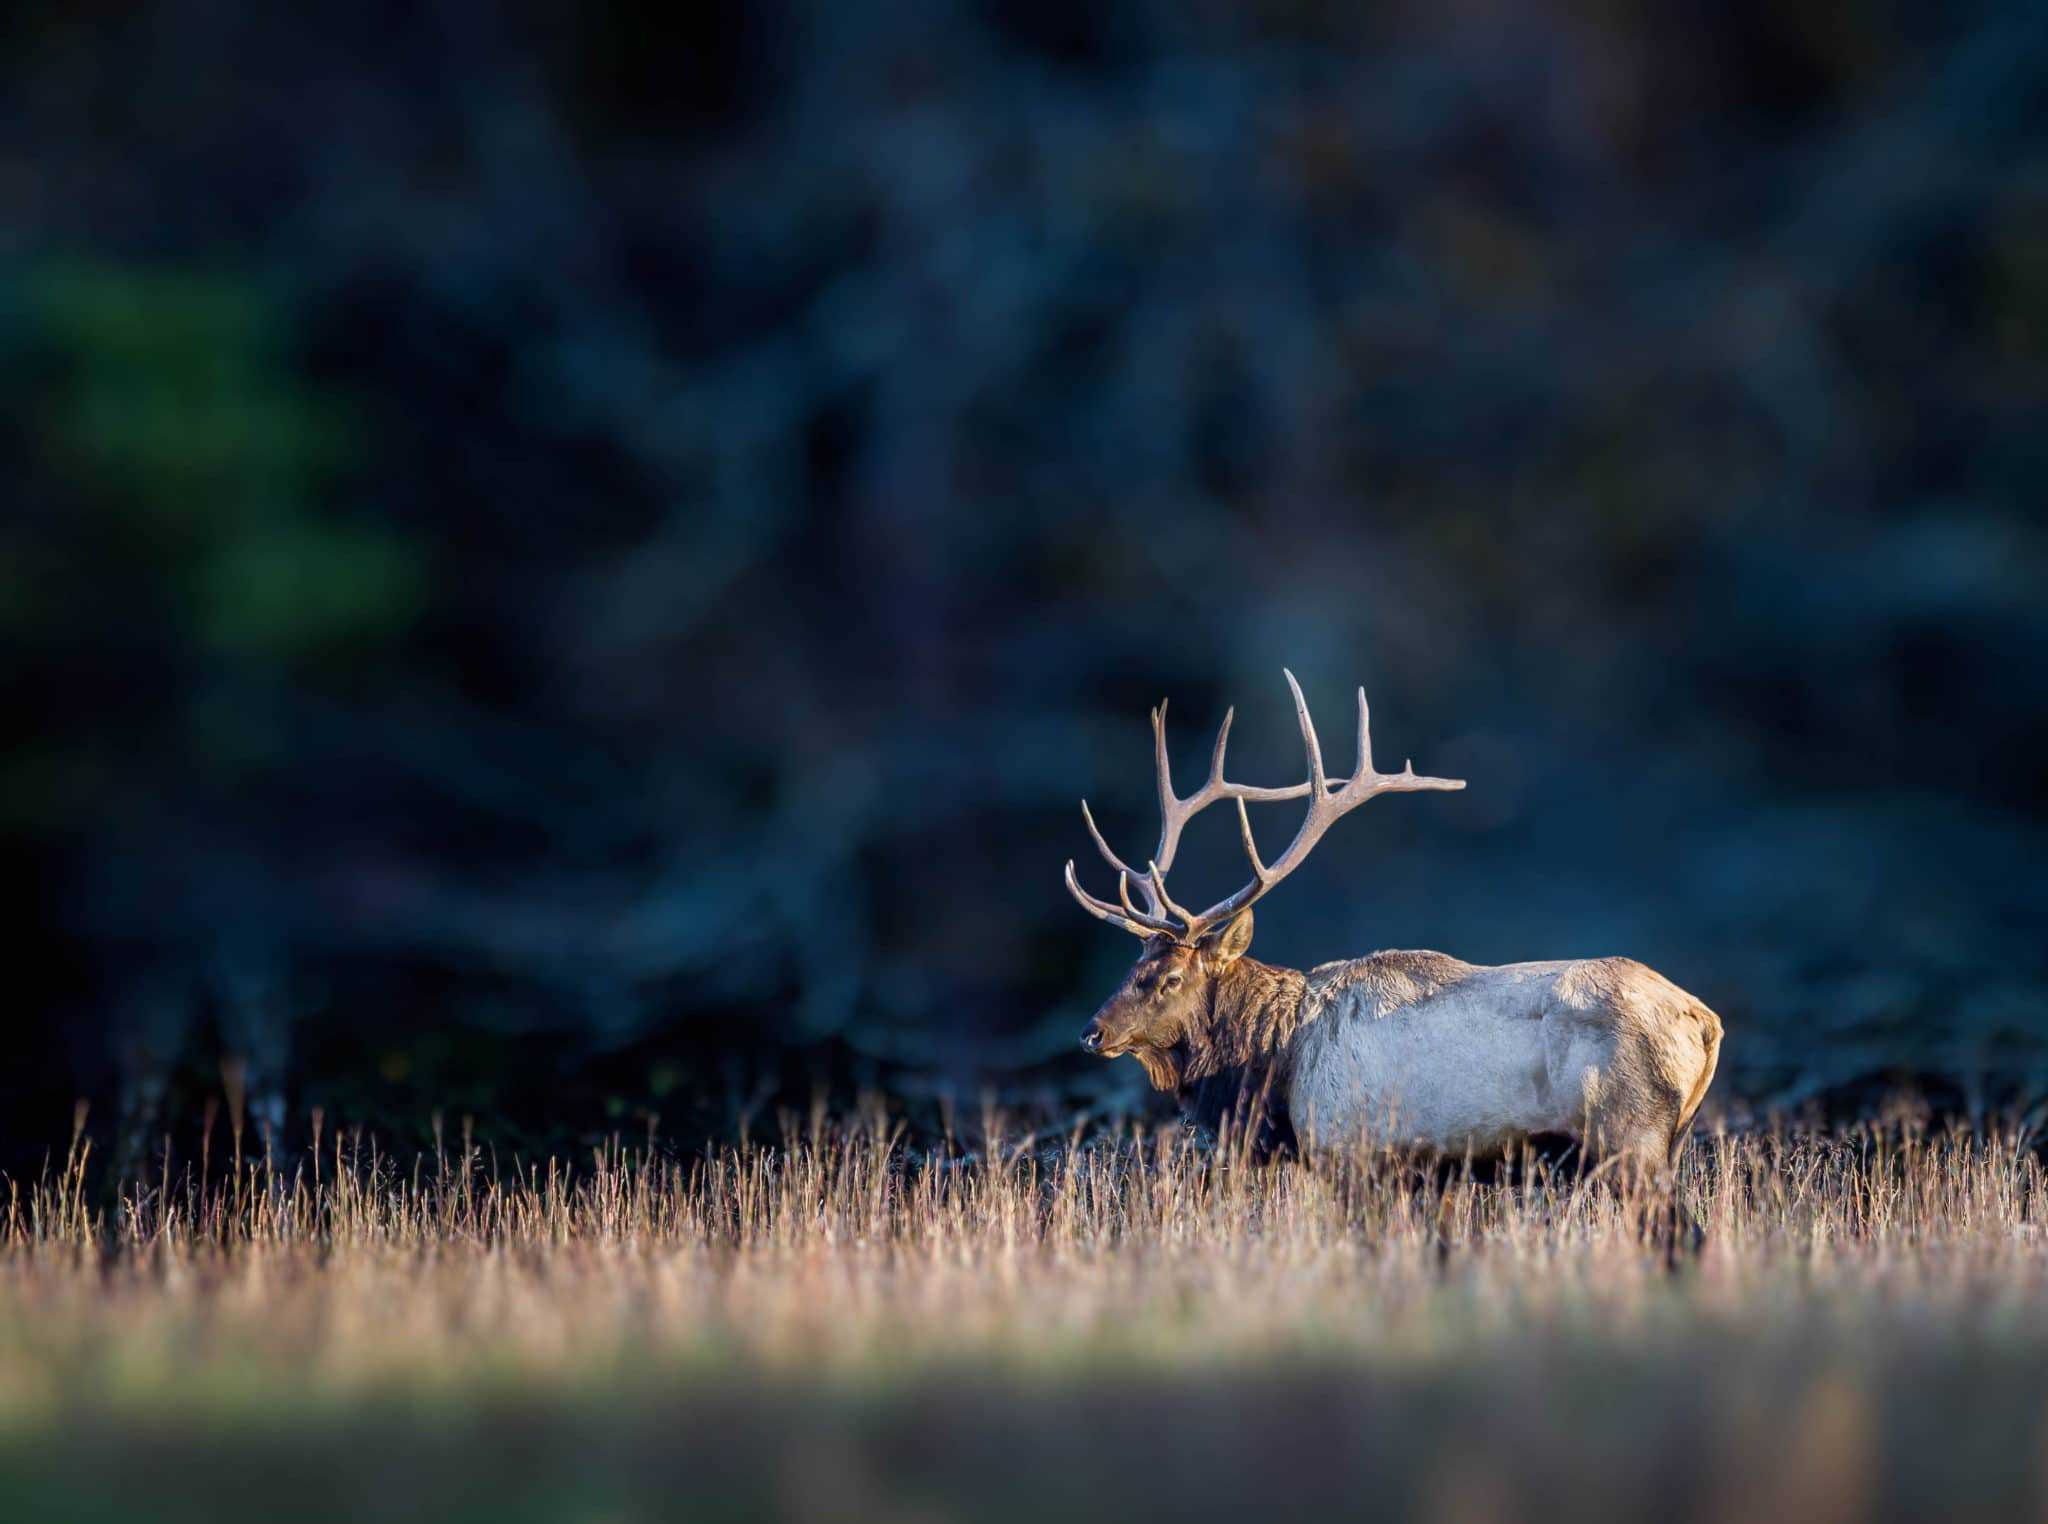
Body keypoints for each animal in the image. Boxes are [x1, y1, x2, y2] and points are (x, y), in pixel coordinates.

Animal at [1064, 675, 1720, 1188]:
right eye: (1133, 966)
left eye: (1169, 977)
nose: (1092, 1032)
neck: (1274, 1069)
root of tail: (1705, 1022)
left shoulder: (1352, 1154)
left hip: (1628, 1137)